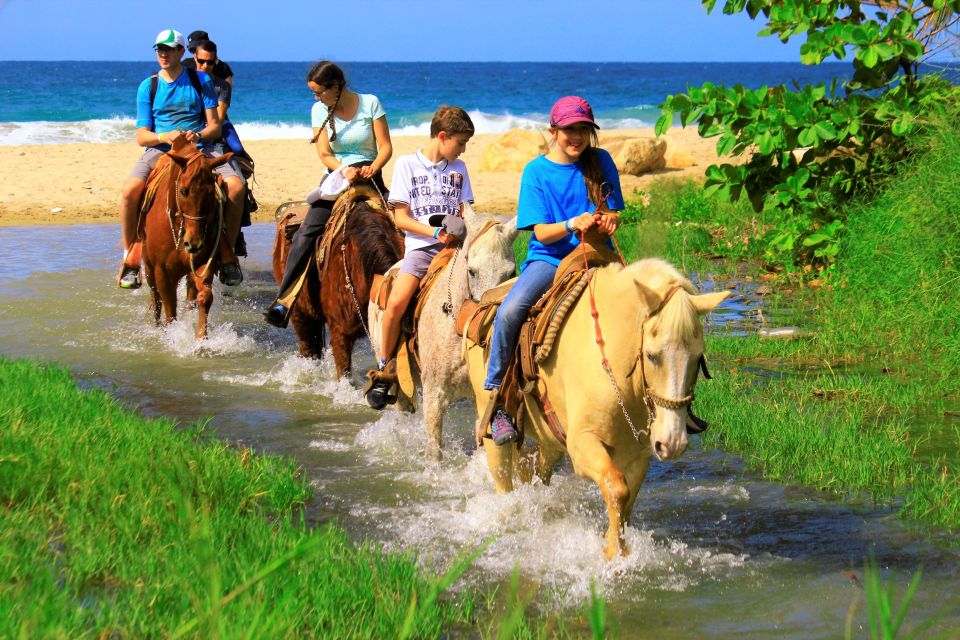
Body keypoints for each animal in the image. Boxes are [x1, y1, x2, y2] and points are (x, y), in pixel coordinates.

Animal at [139, 142, 232, 338]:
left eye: (211, 193)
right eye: (183, 191)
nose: (194, 243)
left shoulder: (203, 264)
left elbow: (204, 296)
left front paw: (201, 337)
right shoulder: (162, 272)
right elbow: (169, 308)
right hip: (149, 268)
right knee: (155, 296)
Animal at [464, 258, 728, 556]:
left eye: (697, 358)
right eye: (651, 355)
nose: (672, 443)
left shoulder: (637, 456)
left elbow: (626, 502)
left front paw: (615, 546)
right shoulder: (583, 445)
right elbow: (616, 488)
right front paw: (615, 553)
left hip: (550, 440)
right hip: (490, 422)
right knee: (502, 477)